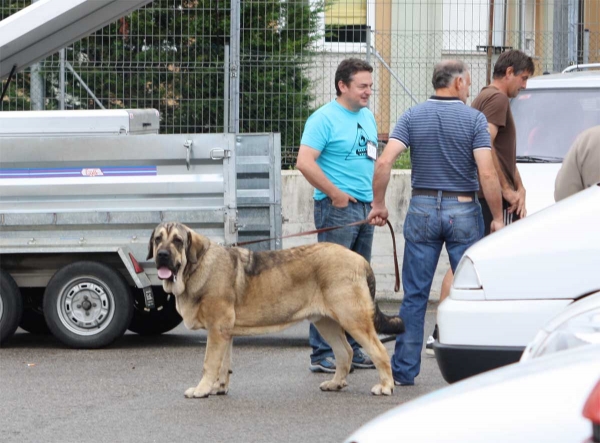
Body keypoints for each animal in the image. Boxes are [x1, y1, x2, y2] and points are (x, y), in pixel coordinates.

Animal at [148, 222, 406, 398]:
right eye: (157, 239)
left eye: (178, 241)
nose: (162, 255)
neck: (195, 267)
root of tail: (360, 260)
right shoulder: (224, 333)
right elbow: (223, 364)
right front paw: (218, 387)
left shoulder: (217, 330)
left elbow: (209, 363)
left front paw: (201, 389)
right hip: (326, 322)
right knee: (345, 352)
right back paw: (335, 383)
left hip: (353, 320)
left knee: (379, 351)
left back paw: (386, 386)